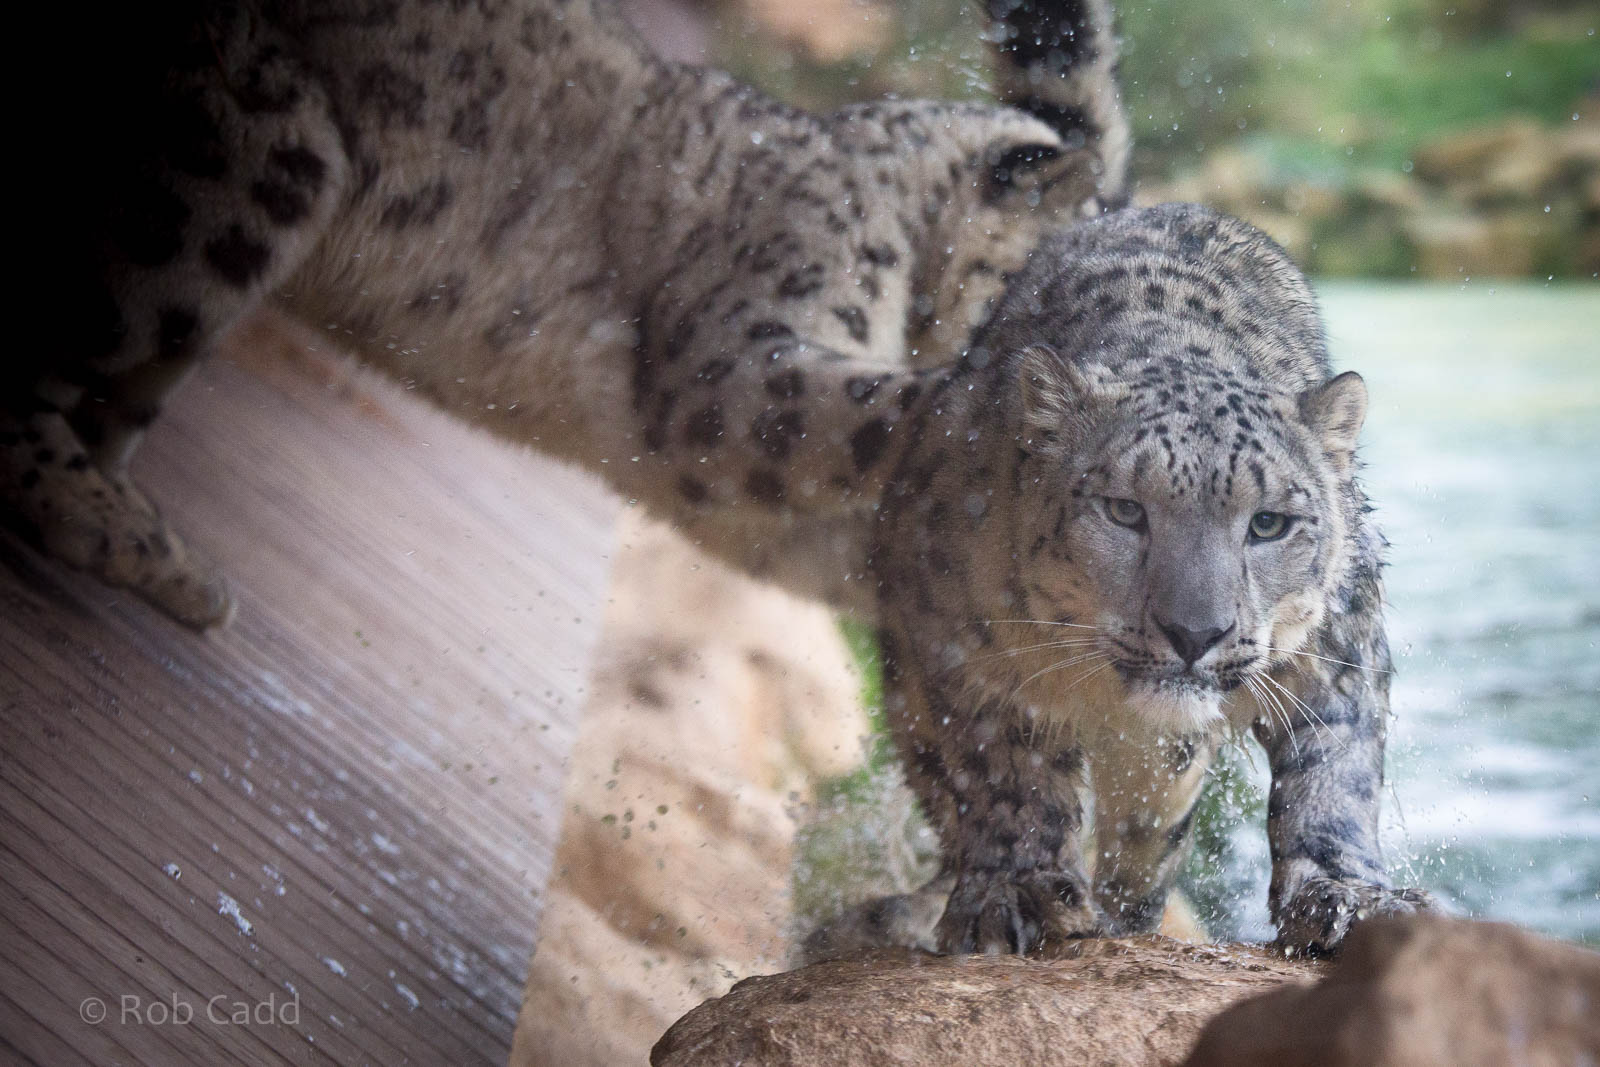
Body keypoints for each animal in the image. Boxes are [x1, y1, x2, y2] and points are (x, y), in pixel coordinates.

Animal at [4, 0, 1432, 956]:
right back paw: (152, 549)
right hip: (247, 164)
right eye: (1122, 510)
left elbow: (1298, 764)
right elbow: (985, 721)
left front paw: (1329, 890)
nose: (1196, 628)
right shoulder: (741, 373)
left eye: (1273, 523)